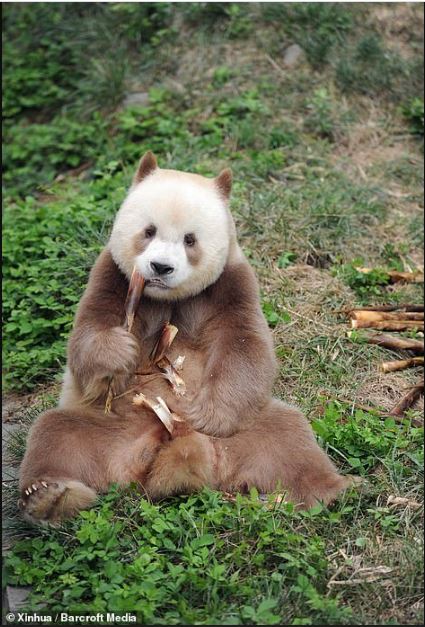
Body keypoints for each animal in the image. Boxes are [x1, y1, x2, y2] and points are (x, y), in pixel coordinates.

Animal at [18, 153, 352, 524]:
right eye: (149, 231)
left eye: (189, 239)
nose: (160, 267)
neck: (169, 298)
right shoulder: (113, 276)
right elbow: (87, 335)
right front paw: (119, 353)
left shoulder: (230, 284)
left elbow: (245, 347)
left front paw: (208, 414)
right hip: (108, 429)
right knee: (55, 434)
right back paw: (49, 495)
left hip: (245, 431)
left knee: (288, 436)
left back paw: (330, 491)